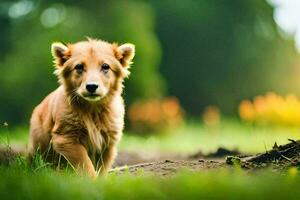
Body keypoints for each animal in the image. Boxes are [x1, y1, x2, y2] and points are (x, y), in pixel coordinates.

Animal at [27, 38, 135, 177]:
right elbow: (85, 163)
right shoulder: (66, 138)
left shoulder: (108, 143)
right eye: (79, 67)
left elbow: (101, 168)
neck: (92, 110)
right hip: (39, 144)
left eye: (105, 66)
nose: (91, 86)